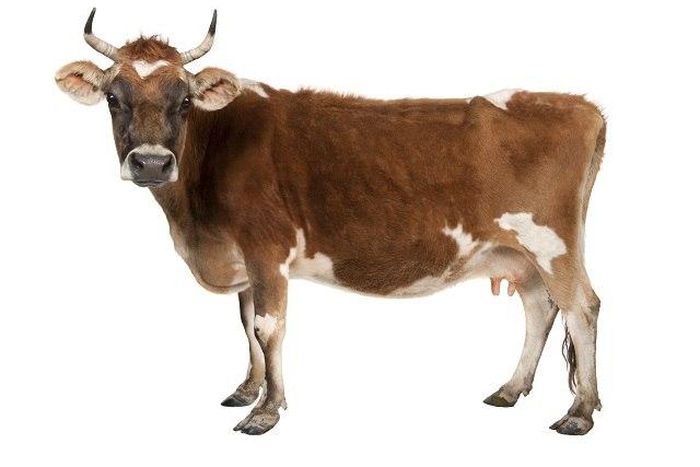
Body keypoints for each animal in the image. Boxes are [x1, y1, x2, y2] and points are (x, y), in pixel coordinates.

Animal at [55, 9, 606, 436]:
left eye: (184, 100)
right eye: (113, 98)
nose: (151, 163)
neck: (193, 222)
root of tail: (581, 104)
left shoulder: (266, 248)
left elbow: (268, 326)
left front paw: (266, 412)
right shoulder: (243, 258)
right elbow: (246, 324)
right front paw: (247, 389)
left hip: (553, 243)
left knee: (581, 307)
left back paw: (579, 414)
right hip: (519, 253)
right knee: (539, 307)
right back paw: (511, 389)